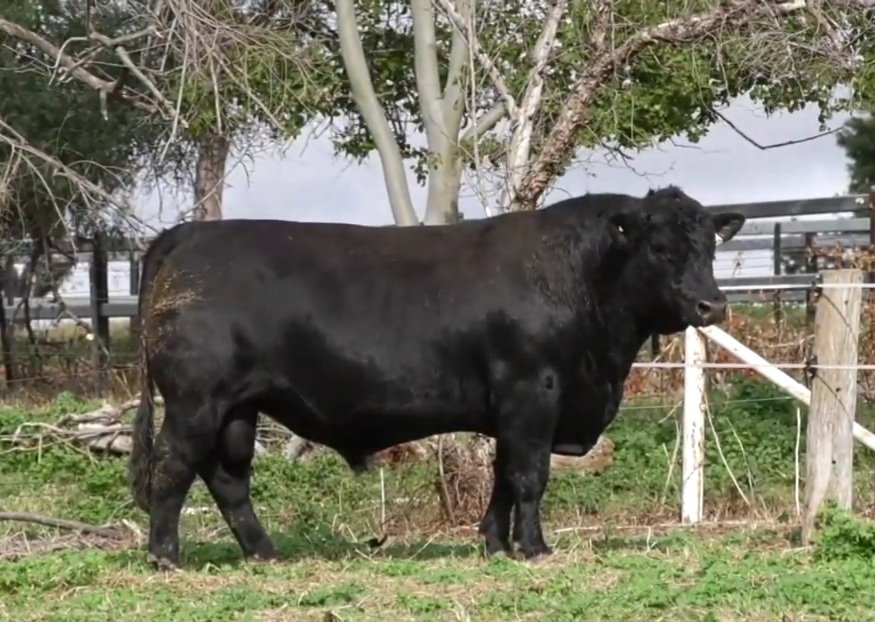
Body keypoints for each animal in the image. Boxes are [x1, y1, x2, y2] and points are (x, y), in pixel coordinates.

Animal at [128, 185, 744, 570]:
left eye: (711, 246)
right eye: (660, 248)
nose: (712, 305)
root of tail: (189, 234)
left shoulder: (514, 410)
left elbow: (502, 476)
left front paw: (495, 544)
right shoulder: (533, 392)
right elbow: (529, 476)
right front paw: (535, 548)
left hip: (237, 409)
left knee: (227, 478)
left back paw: (264, 551)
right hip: (196, 401)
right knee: (173, 466)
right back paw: (165, 555)